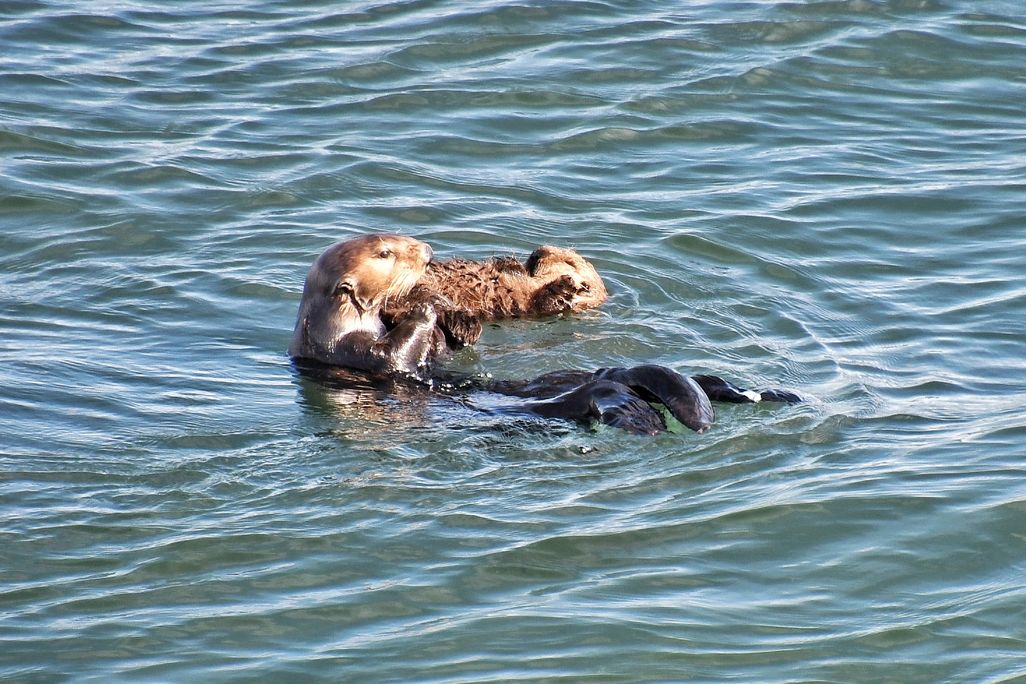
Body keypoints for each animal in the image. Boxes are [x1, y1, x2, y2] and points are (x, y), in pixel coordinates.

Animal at [381, 245, 607, 349]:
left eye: (569, 261)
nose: (537, 253)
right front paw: (509, 261)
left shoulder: (531, 308)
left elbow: (543, 301)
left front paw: (566, 285)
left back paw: (466, 327)